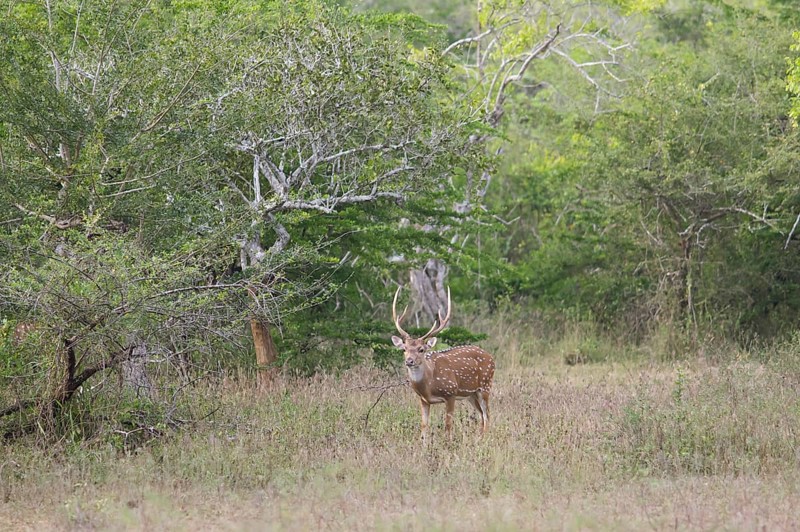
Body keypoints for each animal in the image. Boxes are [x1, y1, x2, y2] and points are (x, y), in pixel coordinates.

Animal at [391, 286, 495, 440]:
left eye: (421, 349)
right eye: (404, 349)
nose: (409, 361)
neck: (429, 385)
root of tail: (491, 357)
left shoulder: (451, 393)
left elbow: (448, 426)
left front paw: (448, 443)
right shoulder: (423, 400)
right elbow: (424, 427)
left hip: (485, 385)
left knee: (487, 415)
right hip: (471, 394)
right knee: (482, 415)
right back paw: (478, 439)